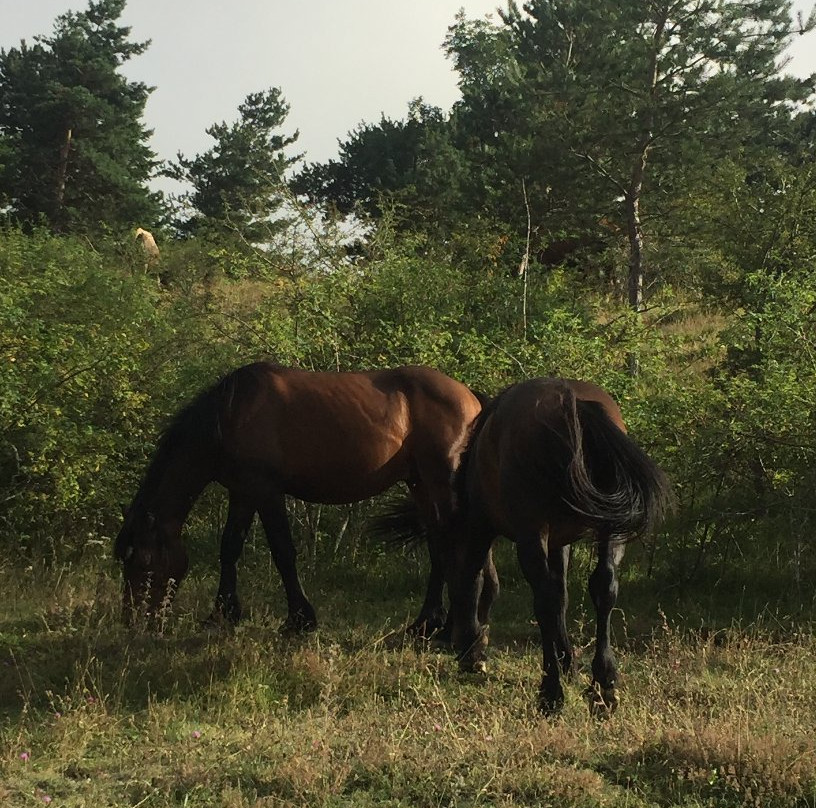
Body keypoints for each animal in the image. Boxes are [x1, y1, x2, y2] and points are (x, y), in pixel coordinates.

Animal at [115, 362, 484, 636]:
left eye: (143, 562)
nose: (134, 624)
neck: (229, 415)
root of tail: (472, 399)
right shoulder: (243, 491)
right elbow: (230, 547)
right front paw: (222, 614)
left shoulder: (266, 491)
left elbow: (283, 552)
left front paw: (299, 620)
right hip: (419, 483)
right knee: (437, 544)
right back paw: (425, 623)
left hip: (439, 481)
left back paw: (445, 625)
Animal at [452, 378, 668, 712]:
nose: (465, 655)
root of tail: (573, 404)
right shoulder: (559, 542)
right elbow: (564, 594)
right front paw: (569, 661)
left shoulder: (482, 528)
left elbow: (475, 578)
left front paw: (473, 649)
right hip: (610, 530)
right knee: (604, 587)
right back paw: (604, 686)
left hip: (531, 535)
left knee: (545, 600)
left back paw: (550, 692)